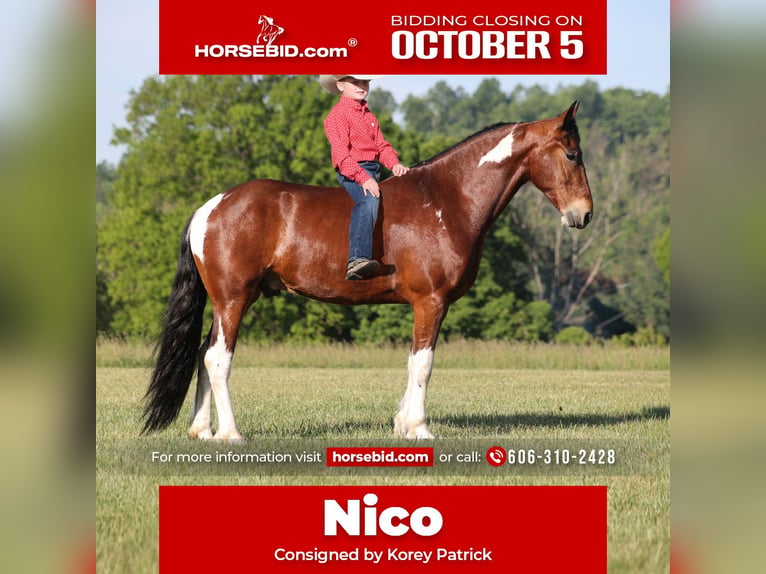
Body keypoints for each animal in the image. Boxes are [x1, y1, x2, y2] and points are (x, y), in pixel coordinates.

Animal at [142, 101, 593, 441]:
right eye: (572, 154)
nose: (585, 214)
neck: (446, 200)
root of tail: (211, 206)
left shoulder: (426, 304)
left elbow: (413, 361)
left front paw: (403, 425)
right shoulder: (431, 301)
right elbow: (423, 364)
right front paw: (419, 428)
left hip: (228, 302)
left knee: (202, 355)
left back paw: (202, 431)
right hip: (233, 299)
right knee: (218, 359)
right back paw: (231, 433)